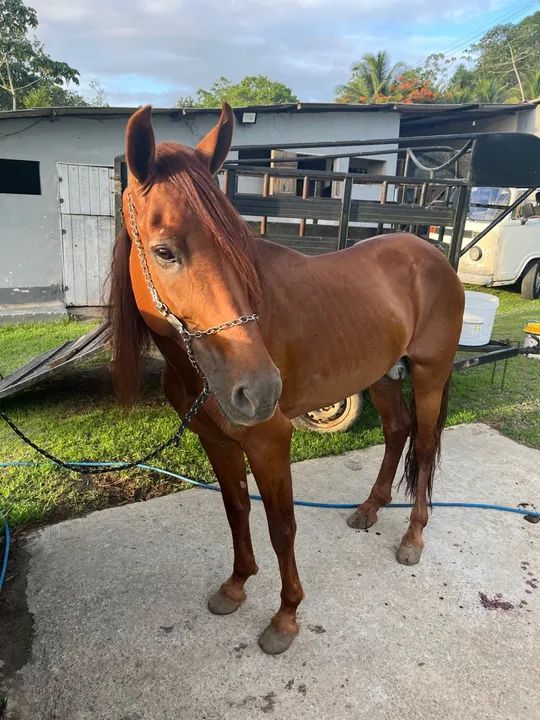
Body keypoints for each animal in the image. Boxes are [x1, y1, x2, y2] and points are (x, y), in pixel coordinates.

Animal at [108, 103, 465, 655]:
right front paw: (236, 585)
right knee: (396, 431)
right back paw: (369, 509)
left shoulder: (270, 442)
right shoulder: (217, 440)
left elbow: (282, 526)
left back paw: (412, 538)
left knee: (423, 447)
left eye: (238, 244)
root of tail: (430, 254)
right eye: (165, 251)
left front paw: (286, 616)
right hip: (382, 377)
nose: (258, 391)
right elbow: (236, 510)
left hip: (429, 375)